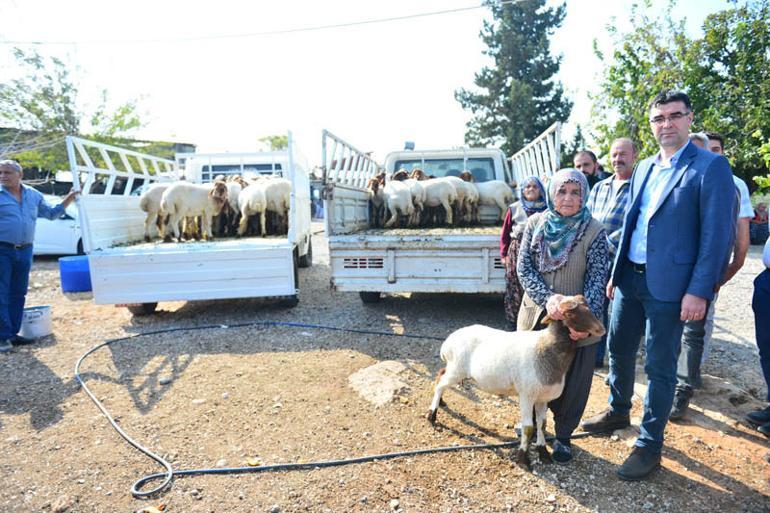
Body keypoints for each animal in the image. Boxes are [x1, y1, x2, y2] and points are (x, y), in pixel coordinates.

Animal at [424, 296, 604, 468]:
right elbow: (528, 428)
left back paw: (441, 403)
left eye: (588, 308)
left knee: (440, 375)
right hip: (457, 368)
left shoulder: (542, 397)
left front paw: (543, 452)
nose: (601, 329)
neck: (547, 348)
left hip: (454, 368)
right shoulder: (526, 395)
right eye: (569, 314)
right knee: (440, 384)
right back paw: (432, 414)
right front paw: (523, 458)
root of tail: (448, 341)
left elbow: (542, 424)